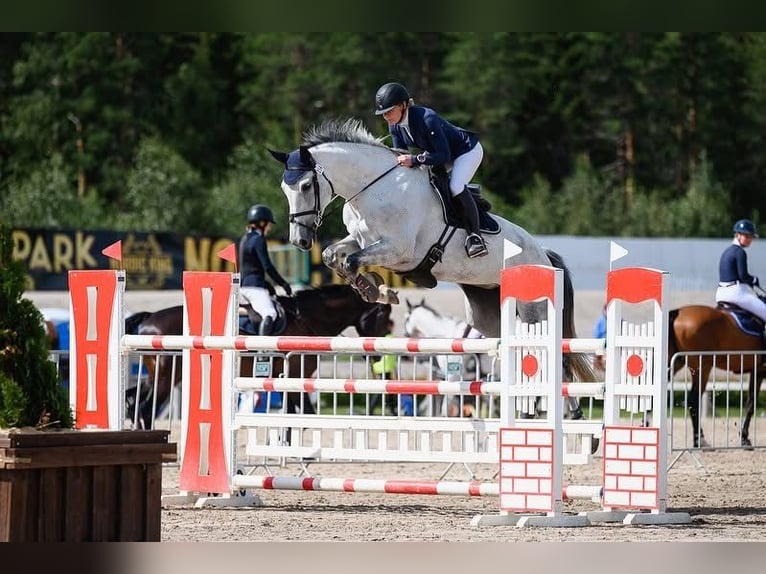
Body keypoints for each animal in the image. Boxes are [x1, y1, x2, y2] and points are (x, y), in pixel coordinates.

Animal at [125, 286, 392, 430]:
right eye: (382, 316)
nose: (377, 358)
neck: (308, 320)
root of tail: (149, 319)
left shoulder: (289, 380)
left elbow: (296, 418)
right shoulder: (295, 376)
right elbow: (305, 417)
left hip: (158, 374)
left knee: (134, 400)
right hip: (168, 376)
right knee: (145, 407)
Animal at [270, 116, 600, 394]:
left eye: (306, 185)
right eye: (284, 188)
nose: (299, 240)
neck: (374, 189)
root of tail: (544, 255)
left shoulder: (400, 251)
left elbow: (353, 261)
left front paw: (377, 289)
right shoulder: (360, 240)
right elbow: (333, 256)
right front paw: (374, 288)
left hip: (534, 312)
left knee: (557, 362)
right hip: (487, 313)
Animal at [668, 304, 764, 452]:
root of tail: (679, 312)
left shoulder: (757, 371)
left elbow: (750, 403)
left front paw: (744, 439)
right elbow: (751, 405)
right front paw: (745, 439)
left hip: (676, 363)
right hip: (702, 366)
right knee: (693, 400)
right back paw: (700, 441)